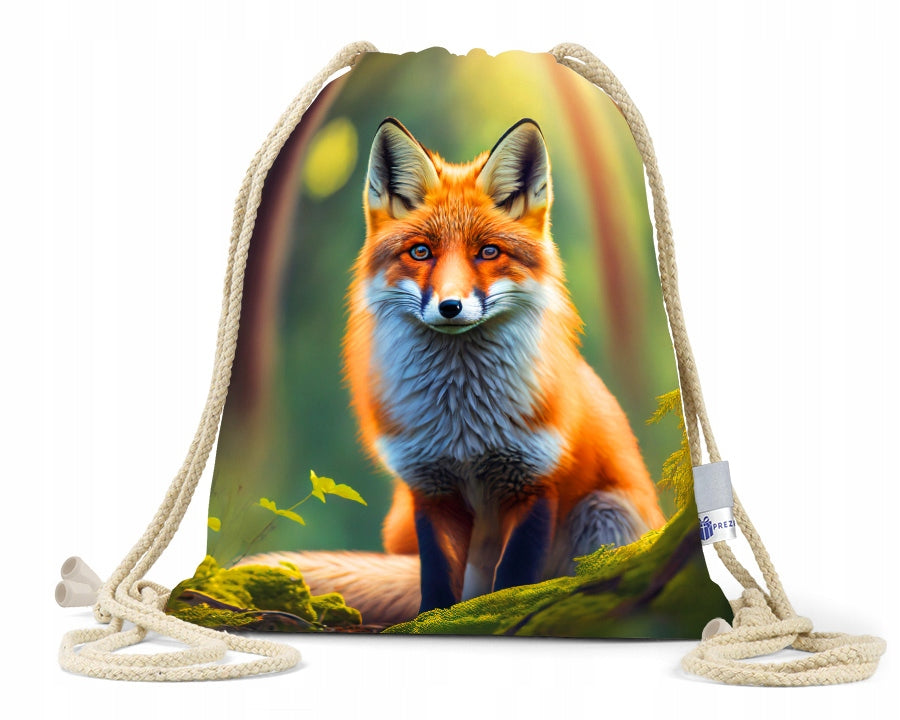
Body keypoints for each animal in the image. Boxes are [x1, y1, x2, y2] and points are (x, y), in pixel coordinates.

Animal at [244, 117, 665, 625]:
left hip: (605, 512)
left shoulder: (535, 483)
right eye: (421, 252)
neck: (463, 425)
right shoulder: (431, 488)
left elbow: (514, 580)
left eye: (488, 252)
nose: (450, 306)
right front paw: (431, 624)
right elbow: (438, 581)